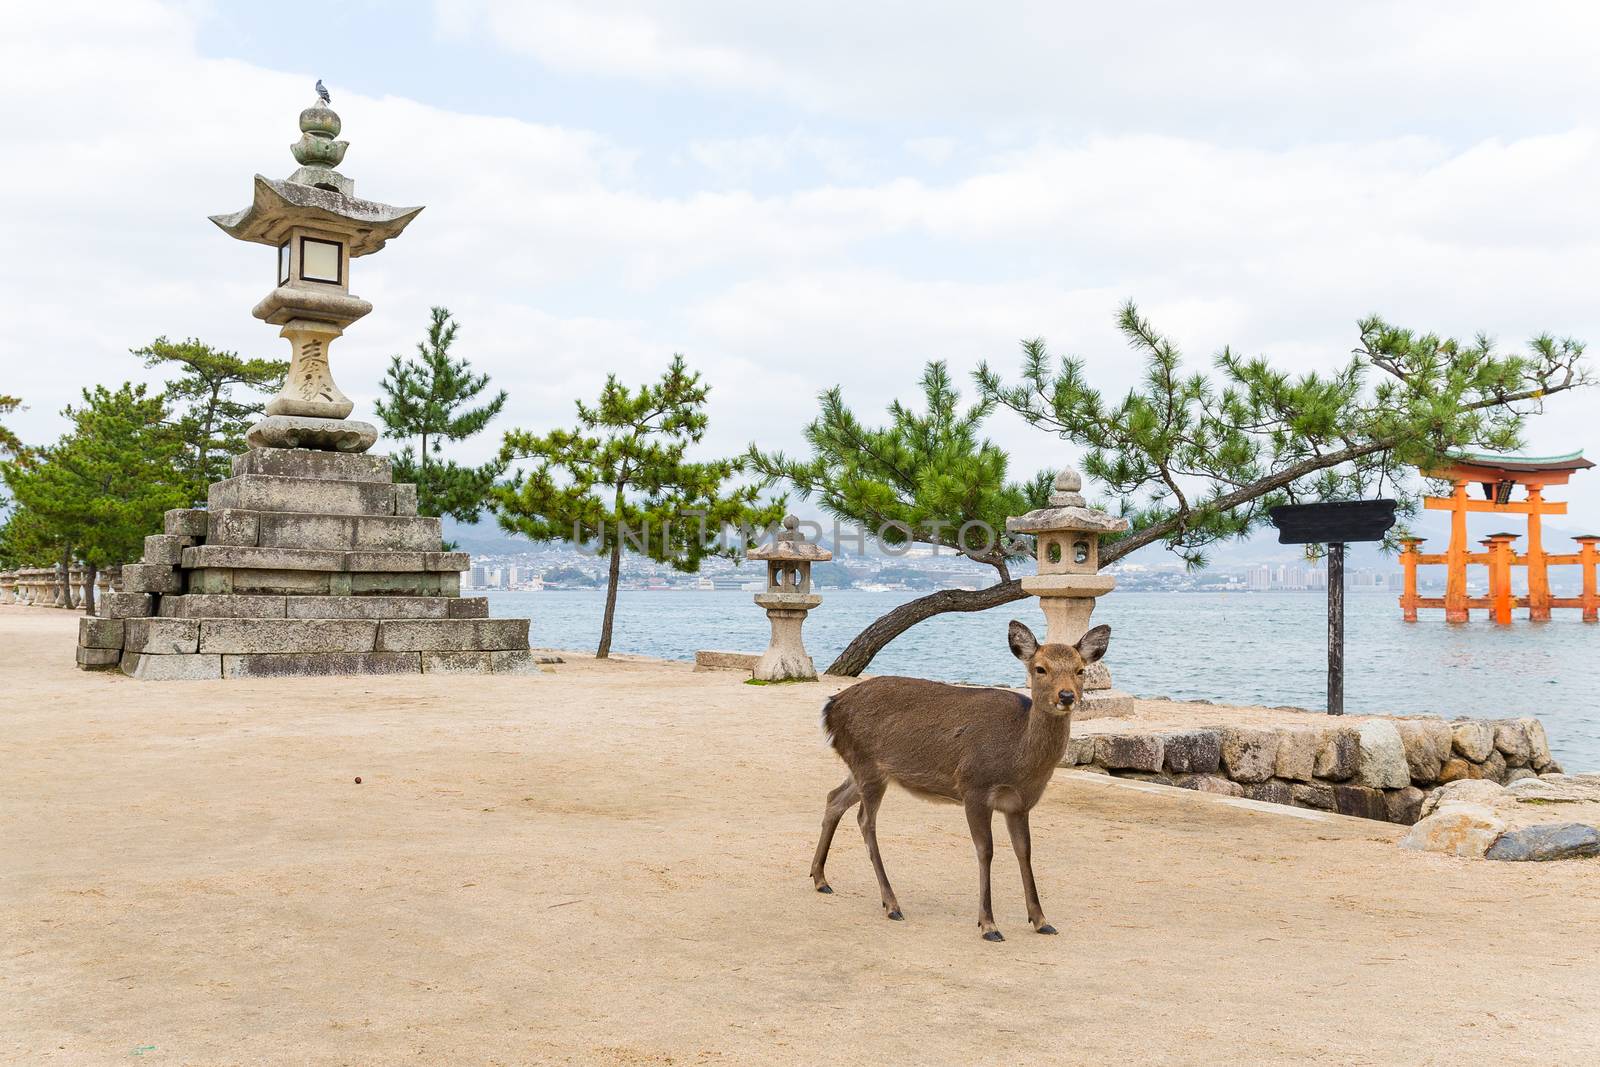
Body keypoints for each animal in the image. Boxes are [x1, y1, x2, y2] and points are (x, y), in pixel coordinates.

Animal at [812, 617, 1113, 940]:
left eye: (1080, 670)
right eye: (1040, 668)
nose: (1066, 696)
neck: (1017, 759)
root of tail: (830, 707)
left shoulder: (1020, 804)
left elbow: (1025, 851)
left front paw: (1041, 920)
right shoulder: (974, 787)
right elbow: (986, 850)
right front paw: (988, 924)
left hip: (865, 769)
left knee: (833, 798)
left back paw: (820, 878)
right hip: (868, 764)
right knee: (865, 821)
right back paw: (891, 904)